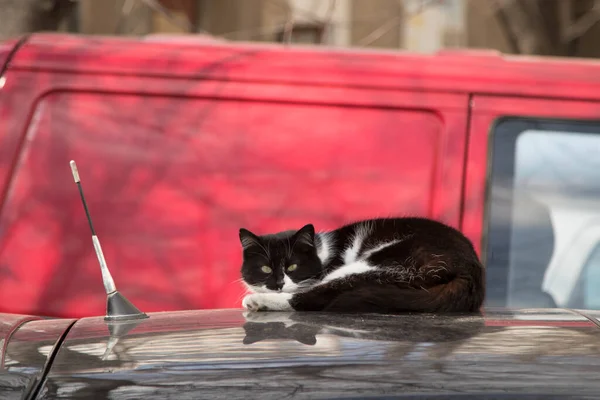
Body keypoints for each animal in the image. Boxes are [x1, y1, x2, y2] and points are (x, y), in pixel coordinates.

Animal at [238, 217, 482, 314]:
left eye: (293, 267)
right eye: (265, 268)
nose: (278, 284)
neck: (322, 252)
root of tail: (471, 271)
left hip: (387, 262)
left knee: (320, 294)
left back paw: (258, 302)